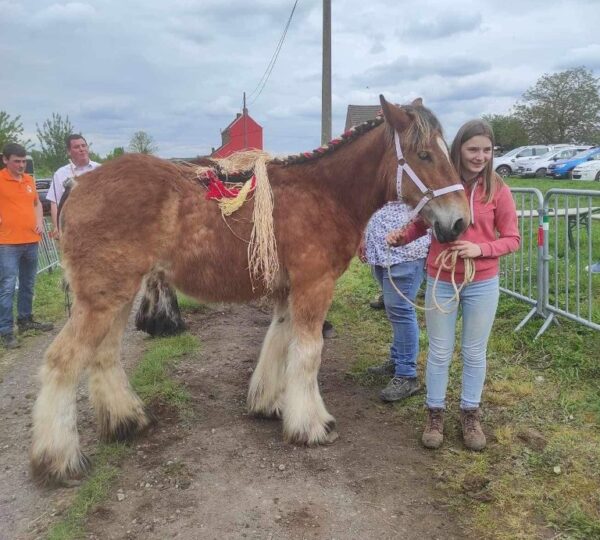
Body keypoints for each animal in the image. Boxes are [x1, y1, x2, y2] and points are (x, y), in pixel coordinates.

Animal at [30, 96, 472, 486]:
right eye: (424, 155)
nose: (459, 222)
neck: (323, 194)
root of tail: (76, 184)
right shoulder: (314, 286)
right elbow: (308, 354)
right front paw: (312, 424)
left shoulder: (287, 292)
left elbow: (278, 343)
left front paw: (269, 404)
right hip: (101, 299)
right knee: (62, 362)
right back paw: (58, 461)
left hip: (116, 298)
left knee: (103, 356)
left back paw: (127, 422)